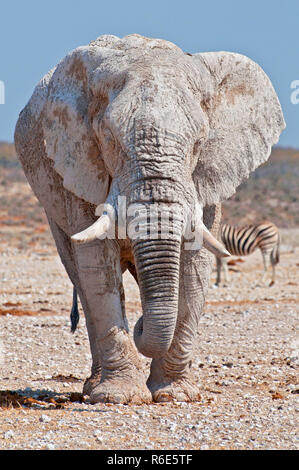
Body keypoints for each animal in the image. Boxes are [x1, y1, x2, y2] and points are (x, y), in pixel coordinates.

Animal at [14, 33, 286, 404]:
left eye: (199, 143)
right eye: (110, 140)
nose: (142, 322)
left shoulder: (205, 180)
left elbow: (195, 265)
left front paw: (175, 394)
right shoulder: (81, 163)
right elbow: (97, 265)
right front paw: (118, 397)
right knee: (81, 276)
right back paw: (94, 386)